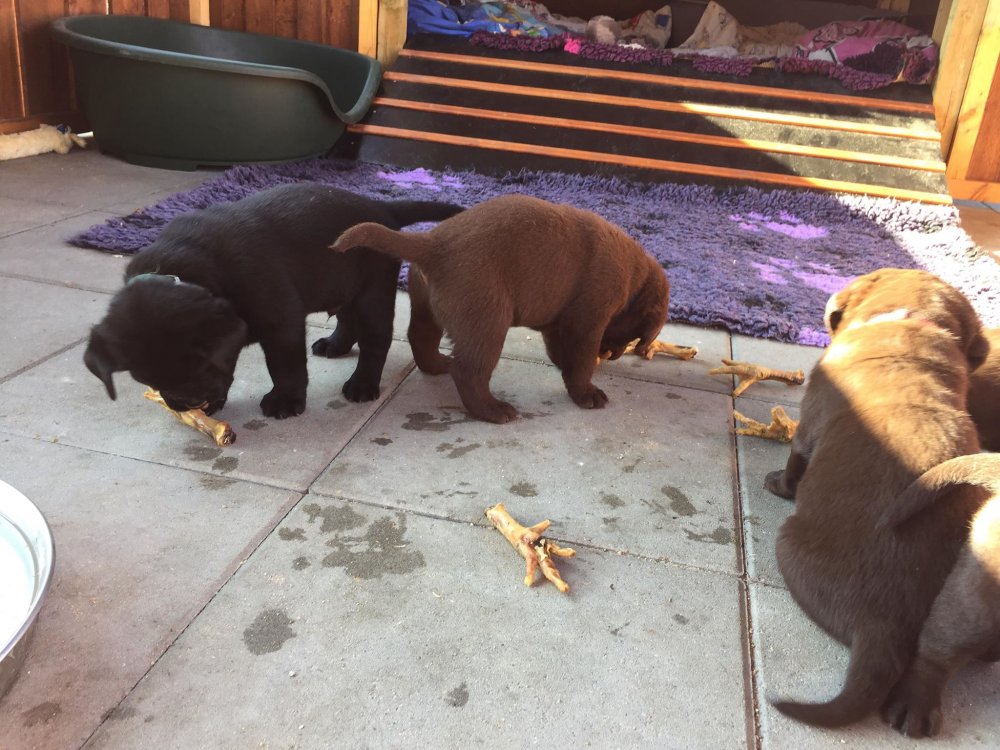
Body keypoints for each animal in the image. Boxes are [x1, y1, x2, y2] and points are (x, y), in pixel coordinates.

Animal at [84, 183, 464, 418]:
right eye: (148, 380)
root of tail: (381, 208)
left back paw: (362, 384)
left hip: (373, 290)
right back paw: (335, 345)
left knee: (375, 338)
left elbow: (284, 365)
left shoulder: (280, 321)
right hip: (339, 281)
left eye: (201, 366)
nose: (189, 403)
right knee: (347, 318)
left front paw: (285, 401)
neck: (176, 267)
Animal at [330, 194, 670, 423]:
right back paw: (493, 410)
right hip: (487, 319)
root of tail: (433, 243)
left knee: (421, 338)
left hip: (428, 304)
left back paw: (438, 364)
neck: (635, 278)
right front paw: (586, 392)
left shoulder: (557, 321)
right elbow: (582, 361)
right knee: (469, 372)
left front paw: (567, 369)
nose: (612, 355)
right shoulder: (588, 321)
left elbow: (562, 353)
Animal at [763, 268, 990, 729]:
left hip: (787, 541)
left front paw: (778, 482)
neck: (910, 319)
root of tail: (881, 631)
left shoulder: (808, 424)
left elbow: (796, 461)